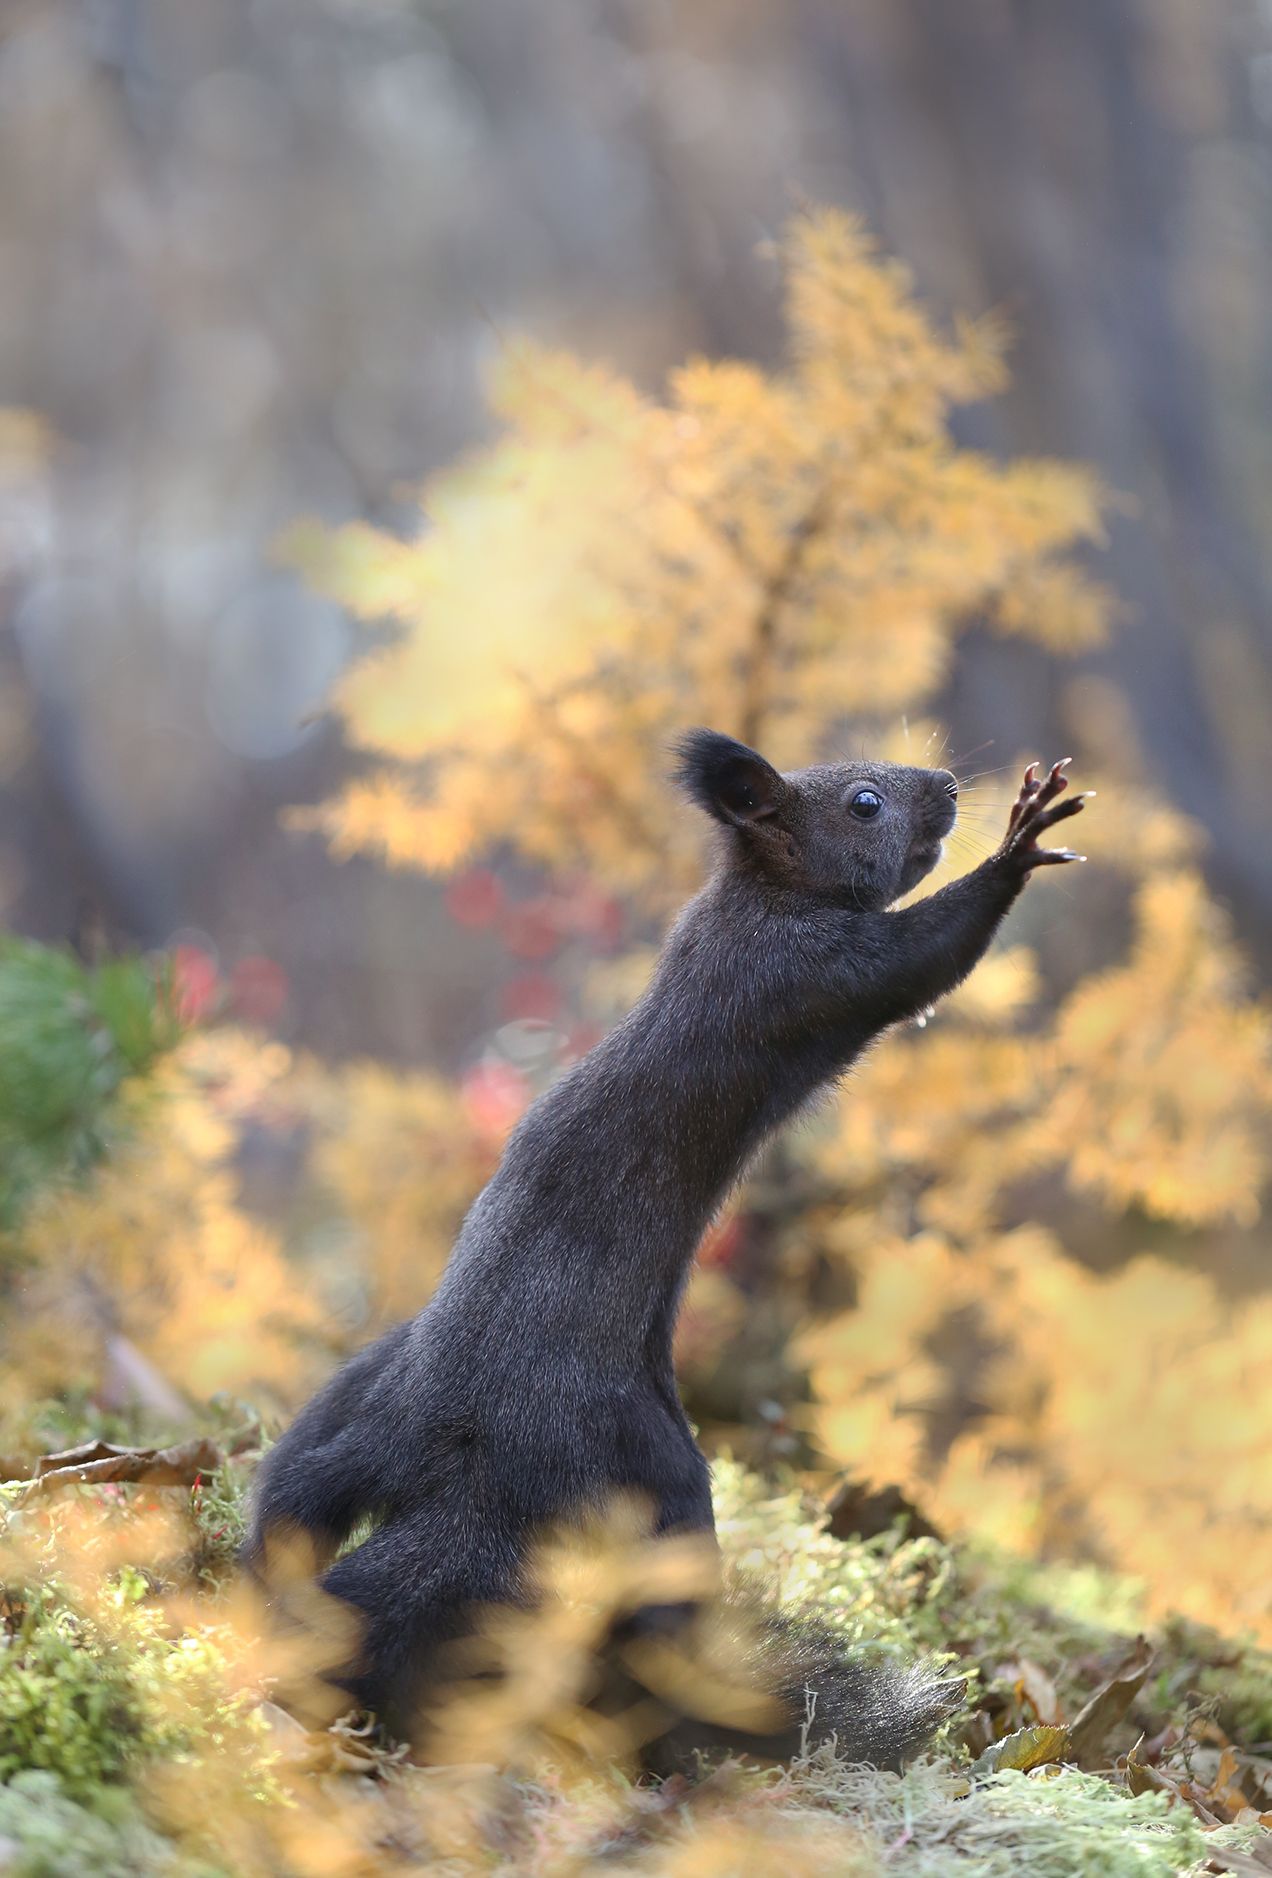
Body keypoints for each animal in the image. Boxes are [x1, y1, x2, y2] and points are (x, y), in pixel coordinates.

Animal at [242, 728, 1089, 1757]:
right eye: (865, 802)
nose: (949, 783)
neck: (756, 895)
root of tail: (459, 1457)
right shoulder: (803, 970)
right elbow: (922, 957)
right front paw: (1017, 846)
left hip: (349, 1407)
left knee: (295, 1496)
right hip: (647, 1456)